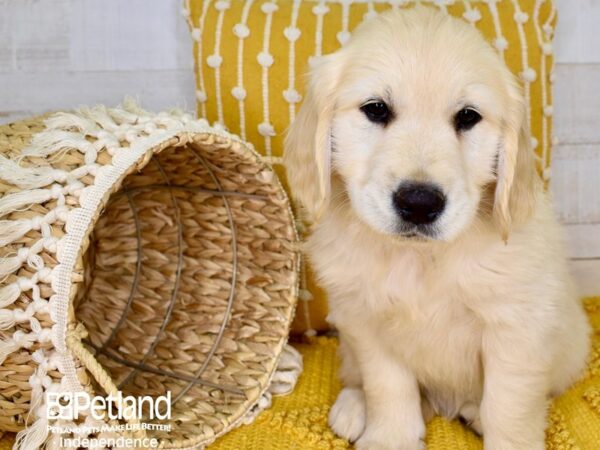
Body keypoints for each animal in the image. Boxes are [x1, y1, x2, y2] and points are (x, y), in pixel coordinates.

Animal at [284, 6, 588, 450]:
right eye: (376, 109)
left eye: (468, 117)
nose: (419, 204)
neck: (420, 259)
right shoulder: (367, 323)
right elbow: (388, 386)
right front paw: (390, 437)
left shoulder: (517, 328)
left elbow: (508, 407)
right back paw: (355, 406)